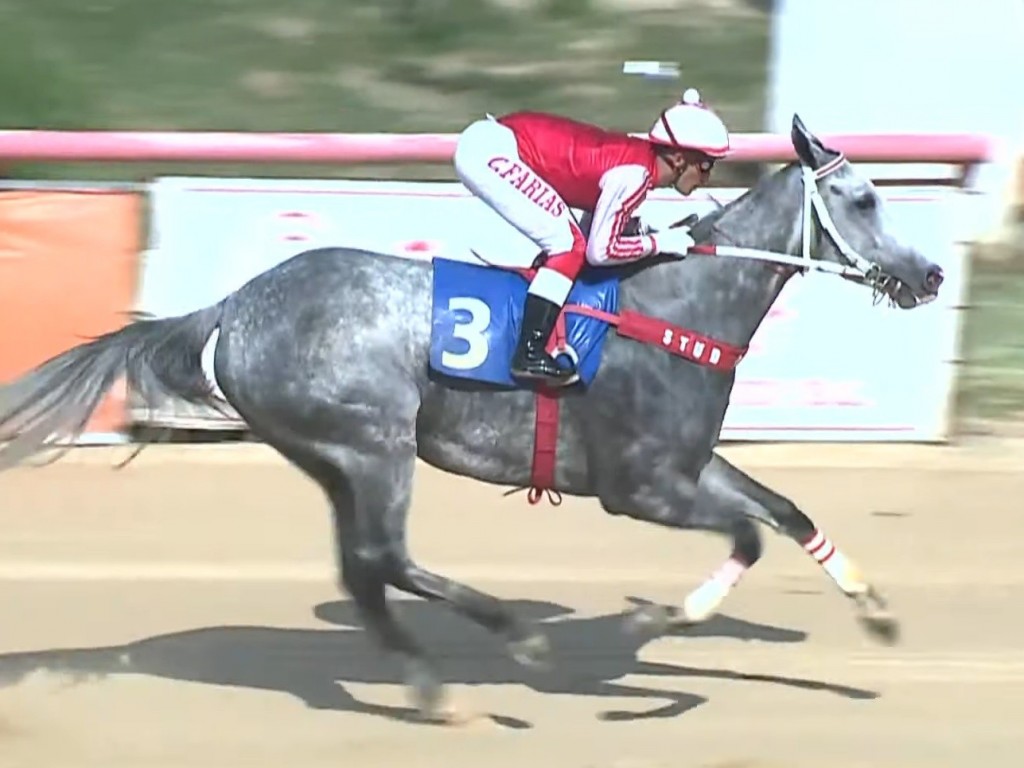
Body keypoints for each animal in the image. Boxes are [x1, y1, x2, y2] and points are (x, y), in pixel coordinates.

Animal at [0, 115, 942, 720]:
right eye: (862, 199)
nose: (930, 275)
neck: (676, 305)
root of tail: (233, 305)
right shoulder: (641, 487)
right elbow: (746, 536)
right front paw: (660, 622)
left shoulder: (690, 465)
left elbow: (787, 512)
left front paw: (876, 612)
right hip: (373, 444)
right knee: (386, 557)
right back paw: (511, 636)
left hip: (328, 454)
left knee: (363, 569)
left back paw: (428, 682)